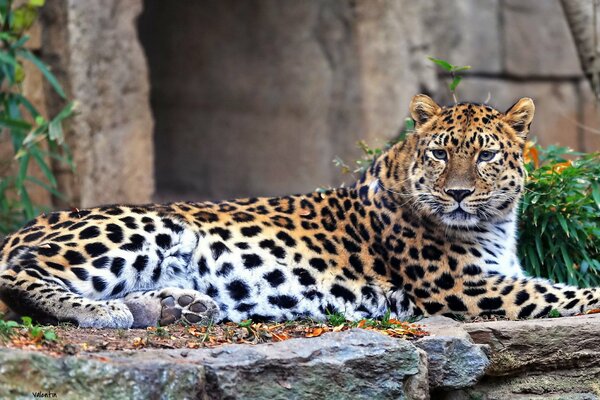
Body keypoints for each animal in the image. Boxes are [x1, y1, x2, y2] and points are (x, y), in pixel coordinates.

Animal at [1, 94, 600, 328]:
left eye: (485, 156)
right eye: (439, 154)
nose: (455, 194)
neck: (497, 225)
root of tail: (22, 228)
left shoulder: (497, 278)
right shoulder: (470, 290)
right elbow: (571, 293)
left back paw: (175, 306)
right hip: (151, 224)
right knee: (21, 273)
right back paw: (106, 312)